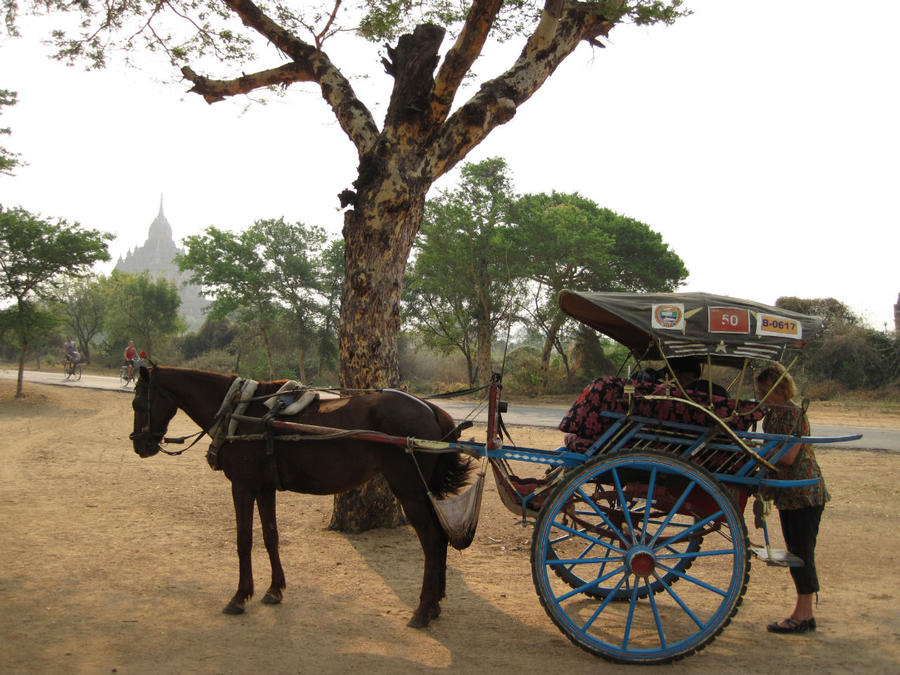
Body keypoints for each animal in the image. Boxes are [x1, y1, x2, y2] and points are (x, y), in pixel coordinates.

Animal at [134, 364, 474, 628]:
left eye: (139, 403)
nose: (140, 445)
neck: (240, 412)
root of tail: (431, 410)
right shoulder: (264, 487)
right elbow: (270, 536)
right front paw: (274, 590)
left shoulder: (242, 485)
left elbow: (244, 541)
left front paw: (240, 596)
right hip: (422, 492)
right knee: (440, 538)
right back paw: (435, 605)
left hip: (410, 492)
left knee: (431, 540)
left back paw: (422, 610)